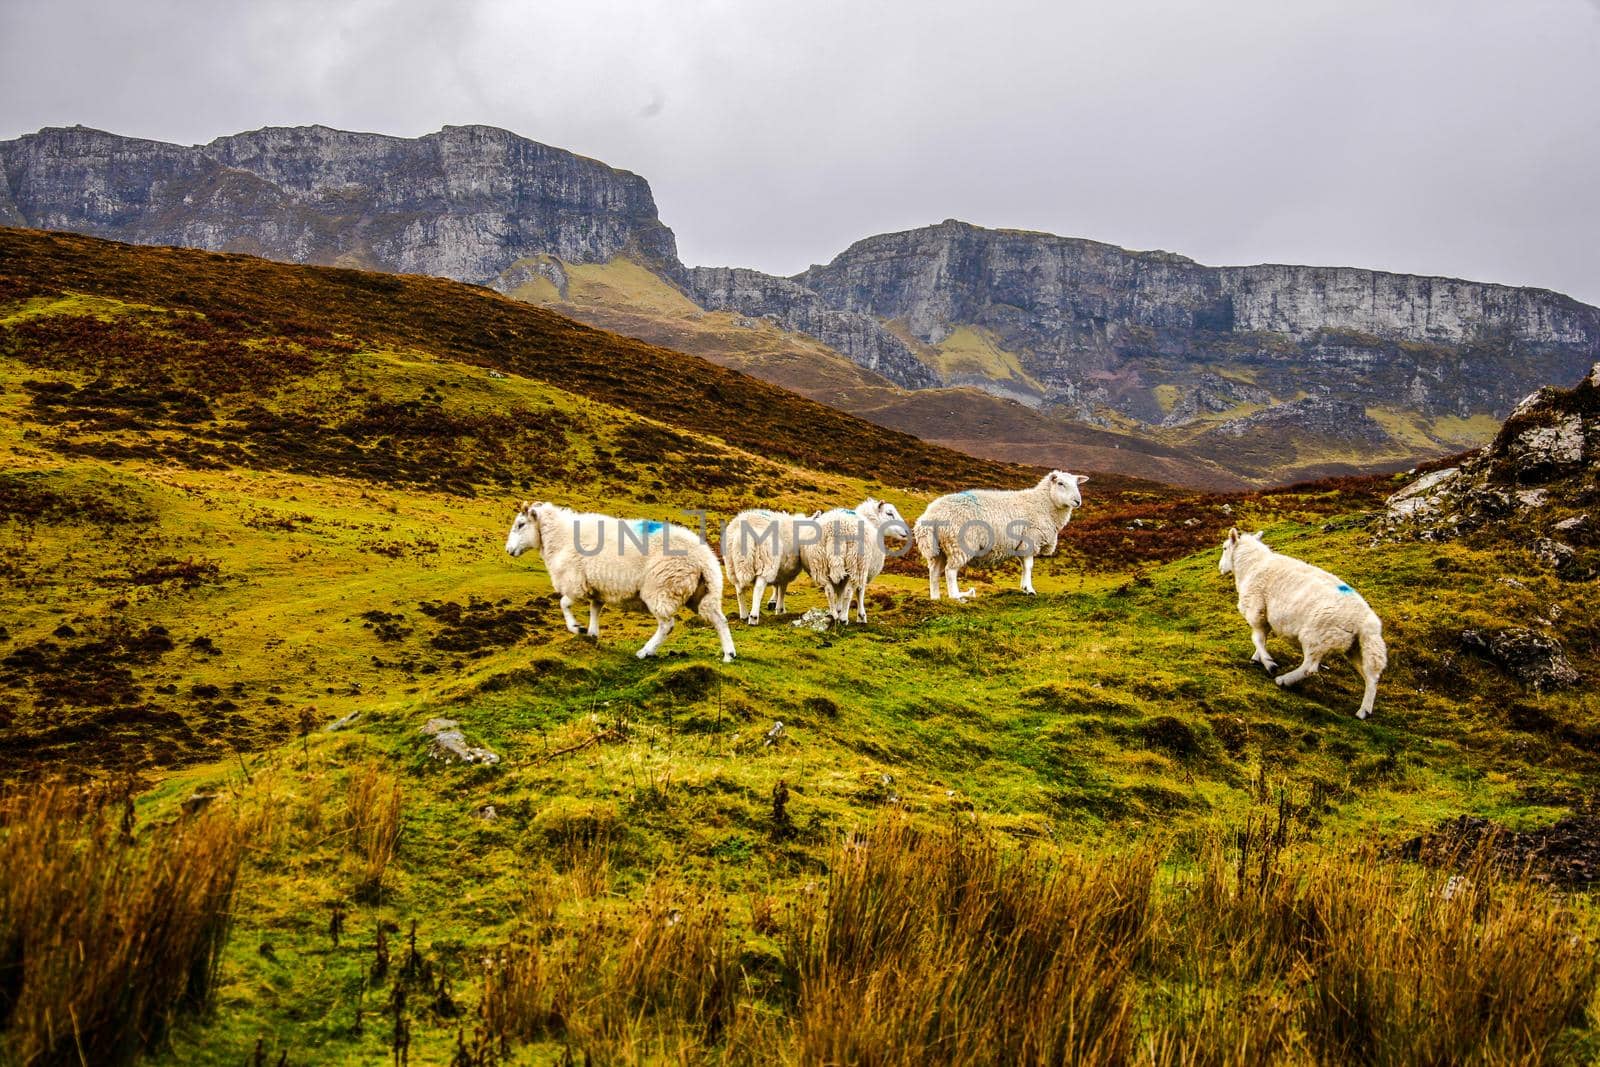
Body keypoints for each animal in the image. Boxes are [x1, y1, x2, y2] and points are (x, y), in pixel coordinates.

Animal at [499, 499, 736, 659]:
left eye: (520, 524)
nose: (508, 550)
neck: (559, 537)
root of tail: (704, 558)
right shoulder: (597, 588)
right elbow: (595, 609)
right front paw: (592, 634)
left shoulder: (575, 583)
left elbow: (564, 603)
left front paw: (576, 628)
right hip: (703, 593)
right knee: (720, 620)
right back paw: (729, 654)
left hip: (661, 588)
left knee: (667, 625)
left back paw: (645, 651)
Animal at [915, 470, 1088, 601]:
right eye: (1060, 483)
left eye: (1077, 484)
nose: (1077, 501)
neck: (1044, 504)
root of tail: (930, 515)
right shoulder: (1030, 539)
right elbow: (1029, 566)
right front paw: (1030, 589)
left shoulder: (1020, 544)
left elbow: (1024, 566)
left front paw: (1024, 587)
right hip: (959, 543)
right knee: (950, 571)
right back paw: (956, 596)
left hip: (939, 548)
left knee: (934, 572)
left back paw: (935, 598)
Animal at [1216, 531, 1382, 723]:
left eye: (1224, 548)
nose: (1220, 568)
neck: (1251, 565)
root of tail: (1365, 622)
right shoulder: (1266, 617)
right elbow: (1262, 638)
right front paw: (1257, 658)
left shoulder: (1256, 610)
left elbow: (1257, 638)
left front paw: (1269, 663)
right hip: (1355, 647)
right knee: (1370, 677)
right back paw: (1364, 711)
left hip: (1316, 636)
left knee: (1309, 668)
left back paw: (1283, 680)